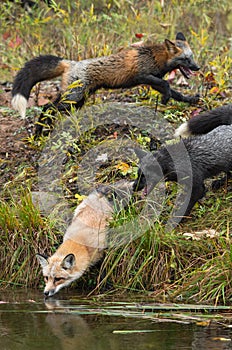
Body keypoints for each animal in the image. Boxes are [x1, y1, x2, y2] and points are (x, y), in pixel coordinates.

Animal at [11, 31, 199, 135]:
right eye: (186, 59)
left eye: (192, 57)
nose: (197, 67)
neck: (154, 57)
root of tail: (71, 63)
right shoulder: (143, 76)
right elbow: (167, 86)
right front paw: (166, 99)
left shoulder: (153, 81)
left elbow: (177, 93)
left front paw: (190, 100)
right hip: (72, 98)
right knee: (48, 107)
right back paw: (39, 133)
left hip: (76, 100)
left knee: (50, 108)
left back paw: (44, 131)